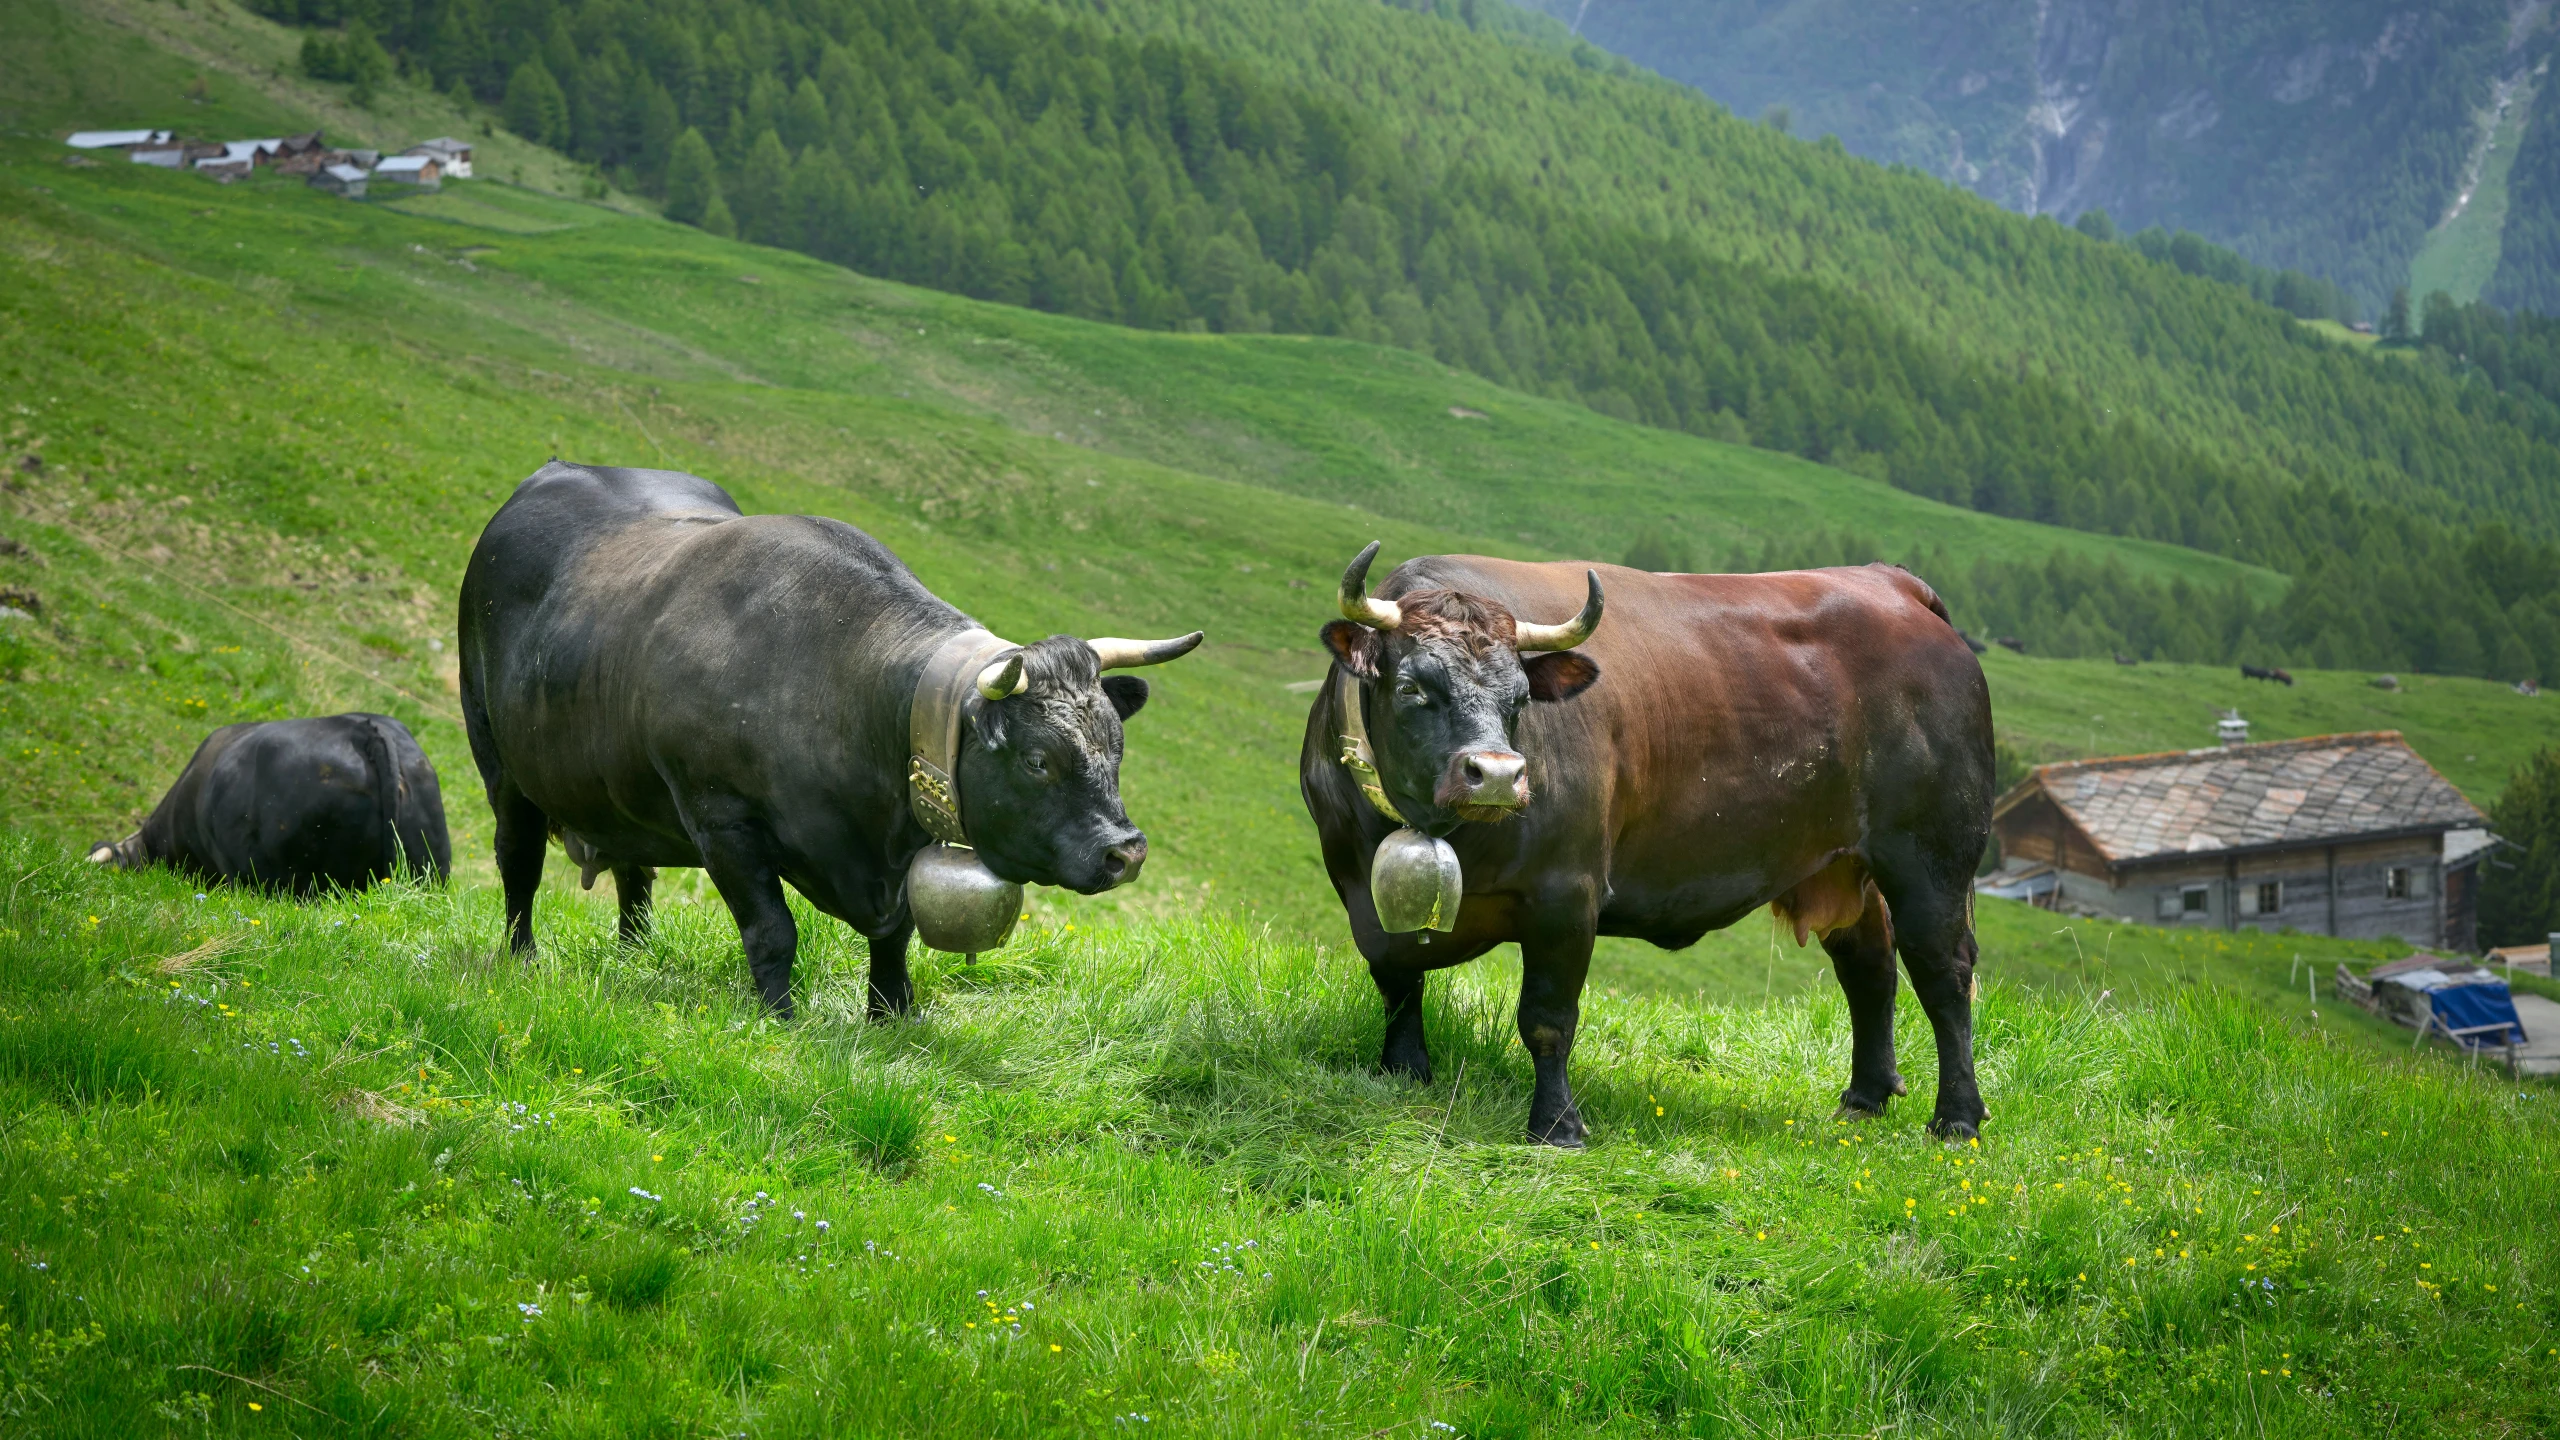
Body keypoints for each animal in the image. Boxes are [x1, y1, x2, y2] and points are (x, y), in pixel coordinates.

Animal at [458, 466, 1198, 1014]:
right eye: (1039, 760)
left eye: (1116, 747)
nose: (1126, 852)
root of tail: (558, 472)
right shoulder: (720, 818)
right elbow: (772, 931)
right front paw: (778, 1020)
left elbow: (896, 937)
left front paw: (892, 1016)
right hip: (501, 764)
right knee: (518, 862)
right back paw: (522, 959)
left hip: (621, 795)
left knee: (633, 877)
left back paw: (634, 958)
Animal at [1300, 545, 1996, 1142]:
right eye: (1413, 687)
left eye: (1521, 696)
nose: (1497, 774)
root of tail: (1891, 584)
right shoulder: (1355, 887)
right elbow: (1396, 984)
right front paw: (1403, 1069)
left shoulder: (1566, 895)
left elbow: (1547, 1019)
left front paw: (1558, 1126)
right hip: (1844, 863)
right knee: (1869, 964)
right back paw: (1866, 1098)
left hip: (1932, 859)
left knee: (1943, 973)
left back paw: (1956, 1118)